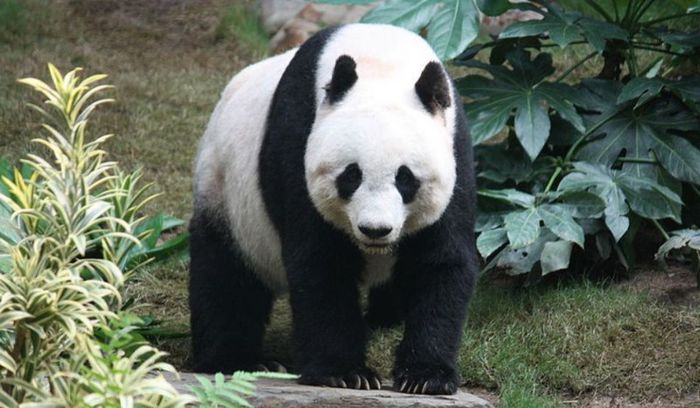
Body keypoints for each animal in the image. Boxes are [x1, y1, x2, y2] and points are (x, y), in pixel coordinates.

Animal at [189, 23, 477, 395]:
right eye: (351, 175)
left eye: (406, 179)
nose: (375, 230)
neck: (382, 60)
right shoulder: (298, 139)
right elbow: (322, 262)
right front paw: (345, 373)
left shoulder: (456, 151)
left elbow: (440, 261)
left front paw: (426, 376)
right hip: (226, 192)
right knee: (226, 275)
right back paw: (238, 360)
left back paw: (384, 318)